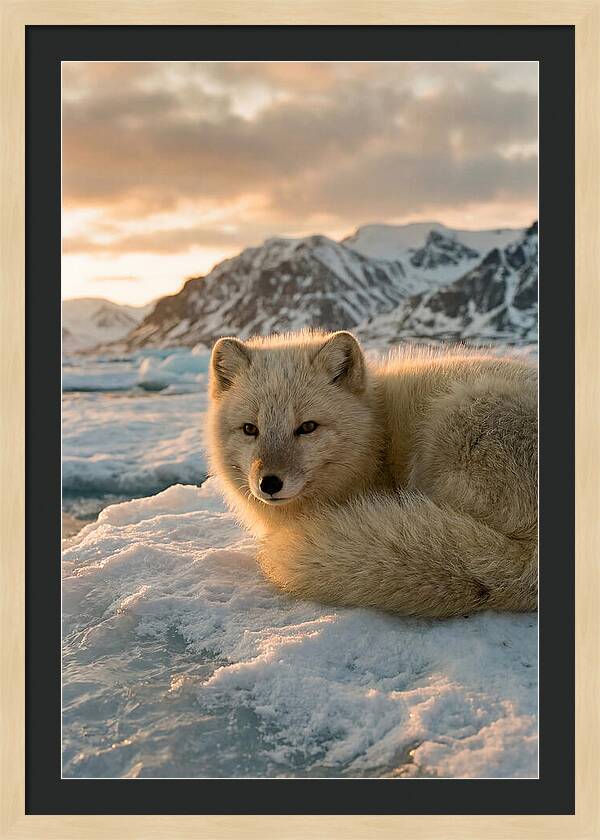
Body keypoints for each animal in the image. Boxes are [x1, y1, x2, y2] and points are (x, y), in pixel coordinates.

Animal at [206, 330, 537, 618]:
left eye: (308, 427)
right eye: (250, 429)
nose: (269, 483)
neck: (376, 435)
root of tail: (529, 562)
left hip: (452, 423)